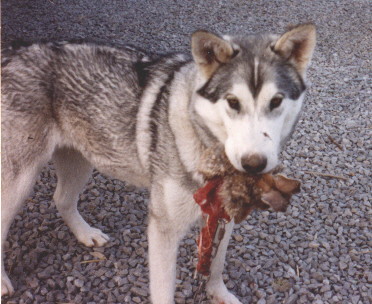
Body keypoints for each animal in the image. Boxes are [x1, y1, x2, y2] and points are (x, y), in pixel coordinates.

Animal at [1, 24, 316, 304]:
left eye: (276, 101)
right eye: (232, 102)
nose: (253, 163)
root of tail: (13, 52)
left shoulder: (222, 215)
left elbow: (216, 265)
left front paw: (219, 294)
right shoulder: (163, 229)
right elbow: (165, 291)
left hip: (81, 160)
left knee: (62, 199)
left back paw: (85, 233)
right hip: (19, 182)